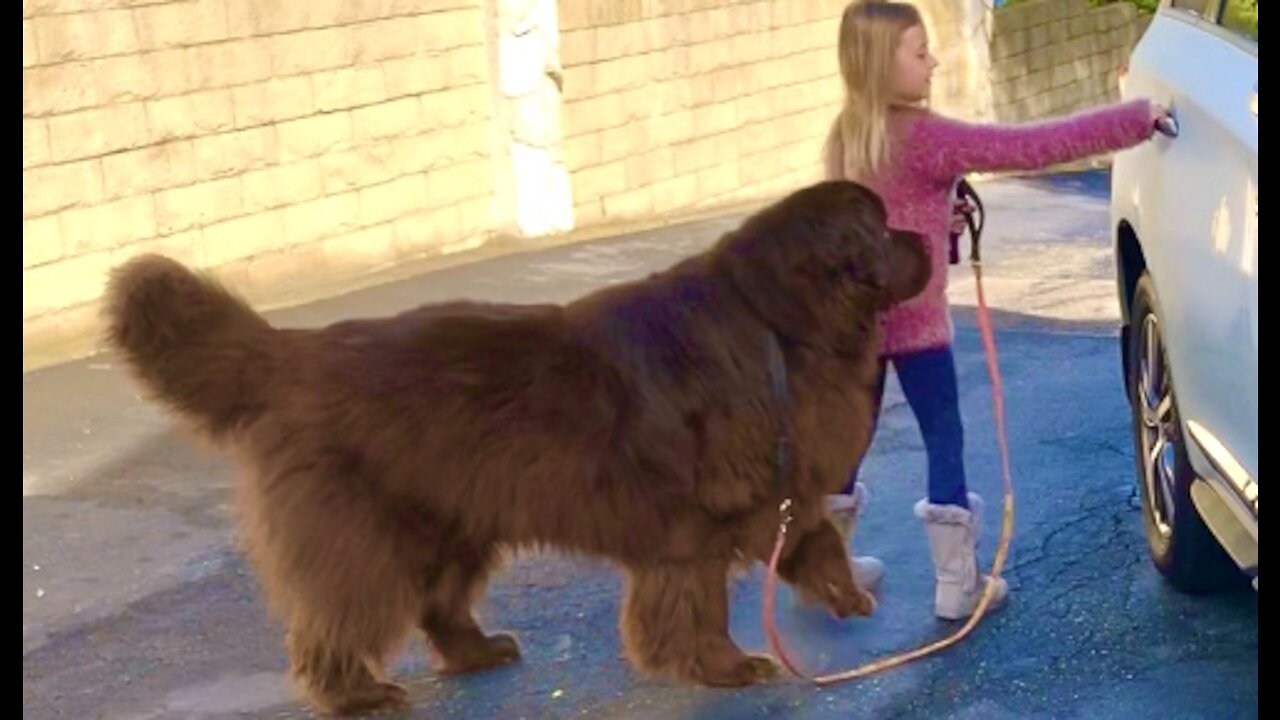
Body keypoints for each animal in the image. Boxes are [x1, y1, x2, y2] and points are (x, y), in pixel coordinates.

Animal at [104, 179, 931, 712]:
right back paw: (355, 692)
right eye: (883, 225)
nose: (927, 234)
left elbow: (816, 538)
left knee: (438, 603)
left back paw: (477, 652)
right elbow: (696, 605)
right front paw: (722, 667)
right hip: (367, 535)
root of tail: (292, 354)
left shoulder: (773, 492)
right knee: (341, 615)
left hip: (451, 521)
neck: (778, 322)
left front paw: (844, 594)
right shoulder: (695, 528)